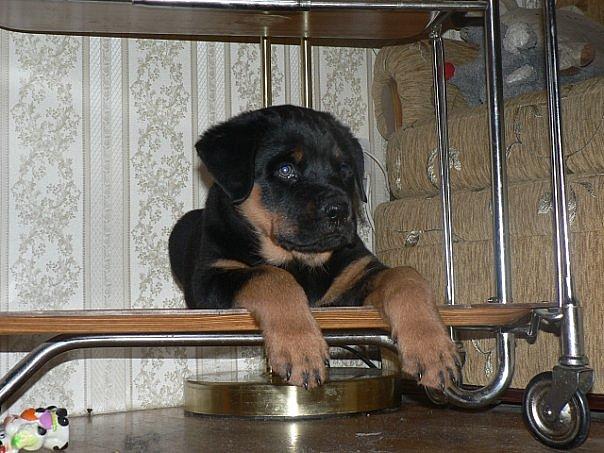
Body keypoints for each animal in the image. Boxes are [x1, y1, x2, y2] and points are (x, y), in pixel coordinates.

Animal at [169, 105, 459, 390]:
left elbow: (404, 275)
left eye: (344, 169)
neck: (301, 259)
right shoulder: (209, 278)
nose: (341, 211)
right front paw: (300, 350)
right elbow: (272, 276)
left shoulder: (354, 278)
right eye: (286, 169)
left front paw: (433, 349)